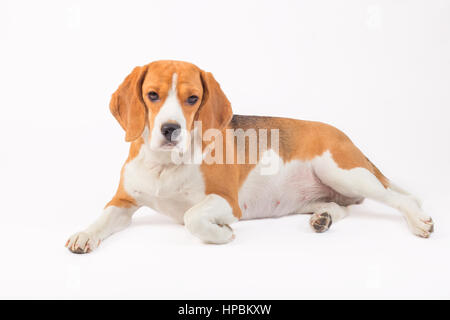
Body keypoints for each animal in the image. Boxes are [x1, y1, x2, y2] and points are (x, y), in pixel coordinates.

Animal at [66, 60, 432, 254]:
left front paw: (222, 234)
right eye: (152, 95)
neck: (165, 165)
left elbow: (192, 217)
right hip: (325, 191)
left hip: (342, 171)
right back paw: (323, 218)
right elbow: (103, 217)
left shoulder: (227, 202)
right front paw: (84, 234)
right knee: (342, 207)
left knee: (404, 198)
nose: (171, 129)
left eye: (192, 99)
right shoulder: (123, 201)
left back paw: (418, 220)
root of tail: (344, 135)